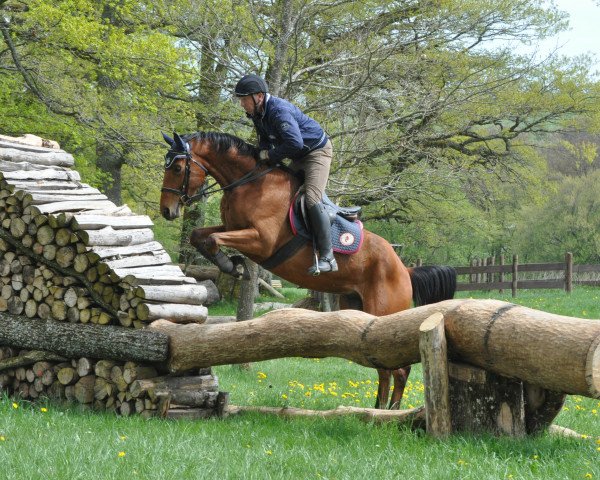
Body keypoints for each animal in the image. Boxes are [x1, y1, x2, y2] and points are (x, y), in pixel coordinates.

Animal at [159, 131, 454, 408]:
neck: (249, 182)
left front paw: (232, 265)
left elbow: (212, 239)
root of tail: (404, 269)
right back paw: (380, 410)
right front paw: (233, 265)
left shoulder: (261, 241)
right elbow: (200, 236)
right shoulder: (233, 228)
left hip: (384, 312)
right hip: (360, 310)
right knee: (384, 369)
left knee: (398, 370)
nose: (166, 211)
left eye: (177, 168)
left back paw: (388, 412)